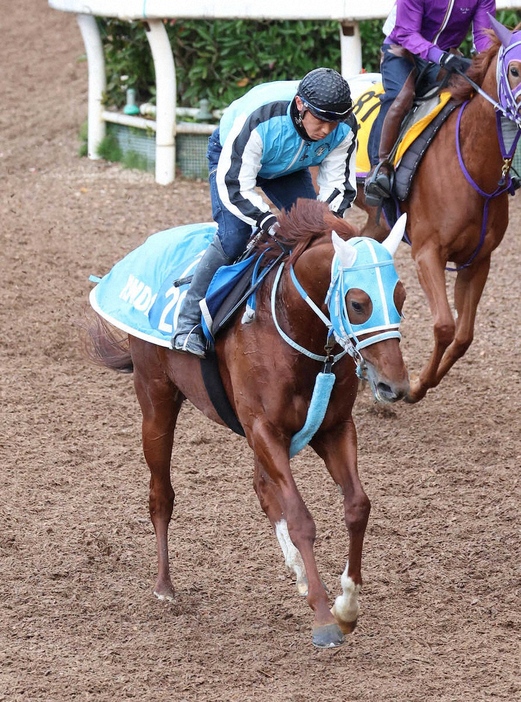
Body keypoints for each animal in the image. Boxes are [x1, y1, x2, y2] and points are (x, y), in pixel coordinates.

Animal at [86, 199, 410, 648]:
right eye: (359, 302)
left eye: (401, 296)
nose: (393, 385)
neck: (295, 331)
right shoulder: (265, 430)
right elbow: (301, 518)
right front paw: (325, 618)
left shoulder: (333, 429)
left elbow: (357, 506)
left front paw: (346, 607)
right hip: (156, 400)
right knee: (161, 494)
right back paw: (165, 586)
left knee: (262, 489)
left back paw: (299, 575)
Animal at [356, 22, 520, 404]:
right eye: (515, 70)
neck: (473, 166)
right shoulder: (427, 252)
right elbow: (445, 325)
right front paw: (415, 386)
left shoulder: (478, 260)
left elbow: (463, 336)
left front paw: (417, 384)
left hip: (377, 221)